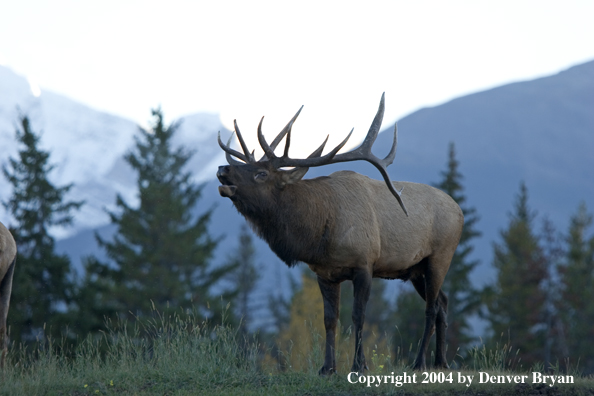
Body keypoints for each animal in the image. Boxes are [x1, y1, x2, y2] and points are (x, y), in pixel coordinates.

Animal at [215, 94, 460, 372]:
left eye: (261, 173)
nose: (223, 168)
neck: (319, 232)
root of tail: (459, 210)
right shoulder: (325, 273)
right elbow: (330, 319)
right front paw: (327, 368)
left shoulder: (365, 264)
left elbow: (358, 316)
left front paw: (359, 365)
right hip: (416, 269)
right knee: (442, 302)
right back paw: (441, 362)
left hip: (440, 256)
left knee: (431, 308)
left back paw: (420, 363)